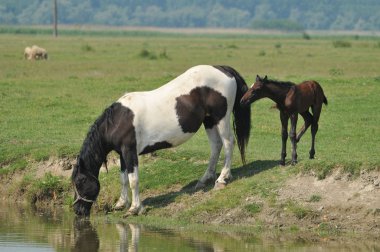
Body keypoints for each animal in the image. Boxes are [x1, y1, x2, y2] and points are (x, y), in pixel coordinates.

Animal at [72, 65, 252, 217]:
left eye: (80, 181)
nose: (77, 210)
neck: (118, 120)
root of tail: (223, 69)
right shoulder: (122, 154)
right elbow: (123, 179)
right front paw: (121, 203)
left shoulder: (130, 151)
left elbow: (133, 180)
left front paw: (135, 208)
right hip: (209, 120)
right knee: (216, 145)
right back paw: (205, 179)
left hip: (221, 118)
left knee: (228, 143)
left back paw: (222, 179)